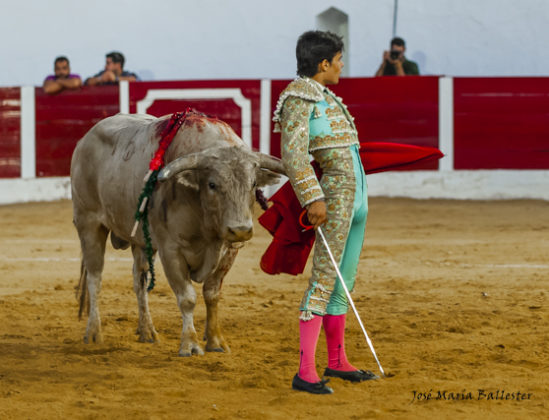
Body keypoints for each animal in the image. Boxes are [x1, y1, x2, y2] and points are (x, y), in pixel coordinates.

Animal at [69, 110, 282, 354]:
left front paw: (216, 340)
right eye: (212, 184)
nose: (240, 230)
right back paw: (94, 332)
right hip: (89, 223)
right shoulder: (170, 251)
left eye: (253, 183)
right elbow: (187, 297)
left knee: (139, 281)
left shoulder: (230, 251)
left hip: (141, 241)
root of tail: (84, 140)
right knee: (95, 278)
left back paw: (147, 331)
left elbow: (212, 294)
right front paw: (190, 344)